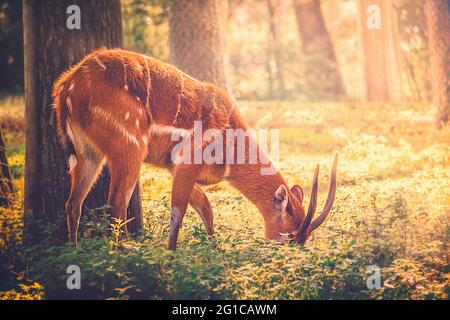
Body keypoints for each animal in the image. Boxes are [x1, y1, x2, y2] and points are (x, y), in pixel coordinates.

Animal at [51, 48, 338, 251]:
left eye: (305, 236)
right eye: (290, 234)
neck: (230, 143)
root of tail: (66, 85)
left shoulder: (174, 168)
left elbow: (206, 208)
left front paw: (215, 249)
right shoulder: (185, 166)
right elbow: (178, 213)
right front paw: (172, 256)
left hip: (89, 153)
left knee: (73, 203)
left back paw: (75, 252)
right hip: (129, 148)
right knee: (116, 204)